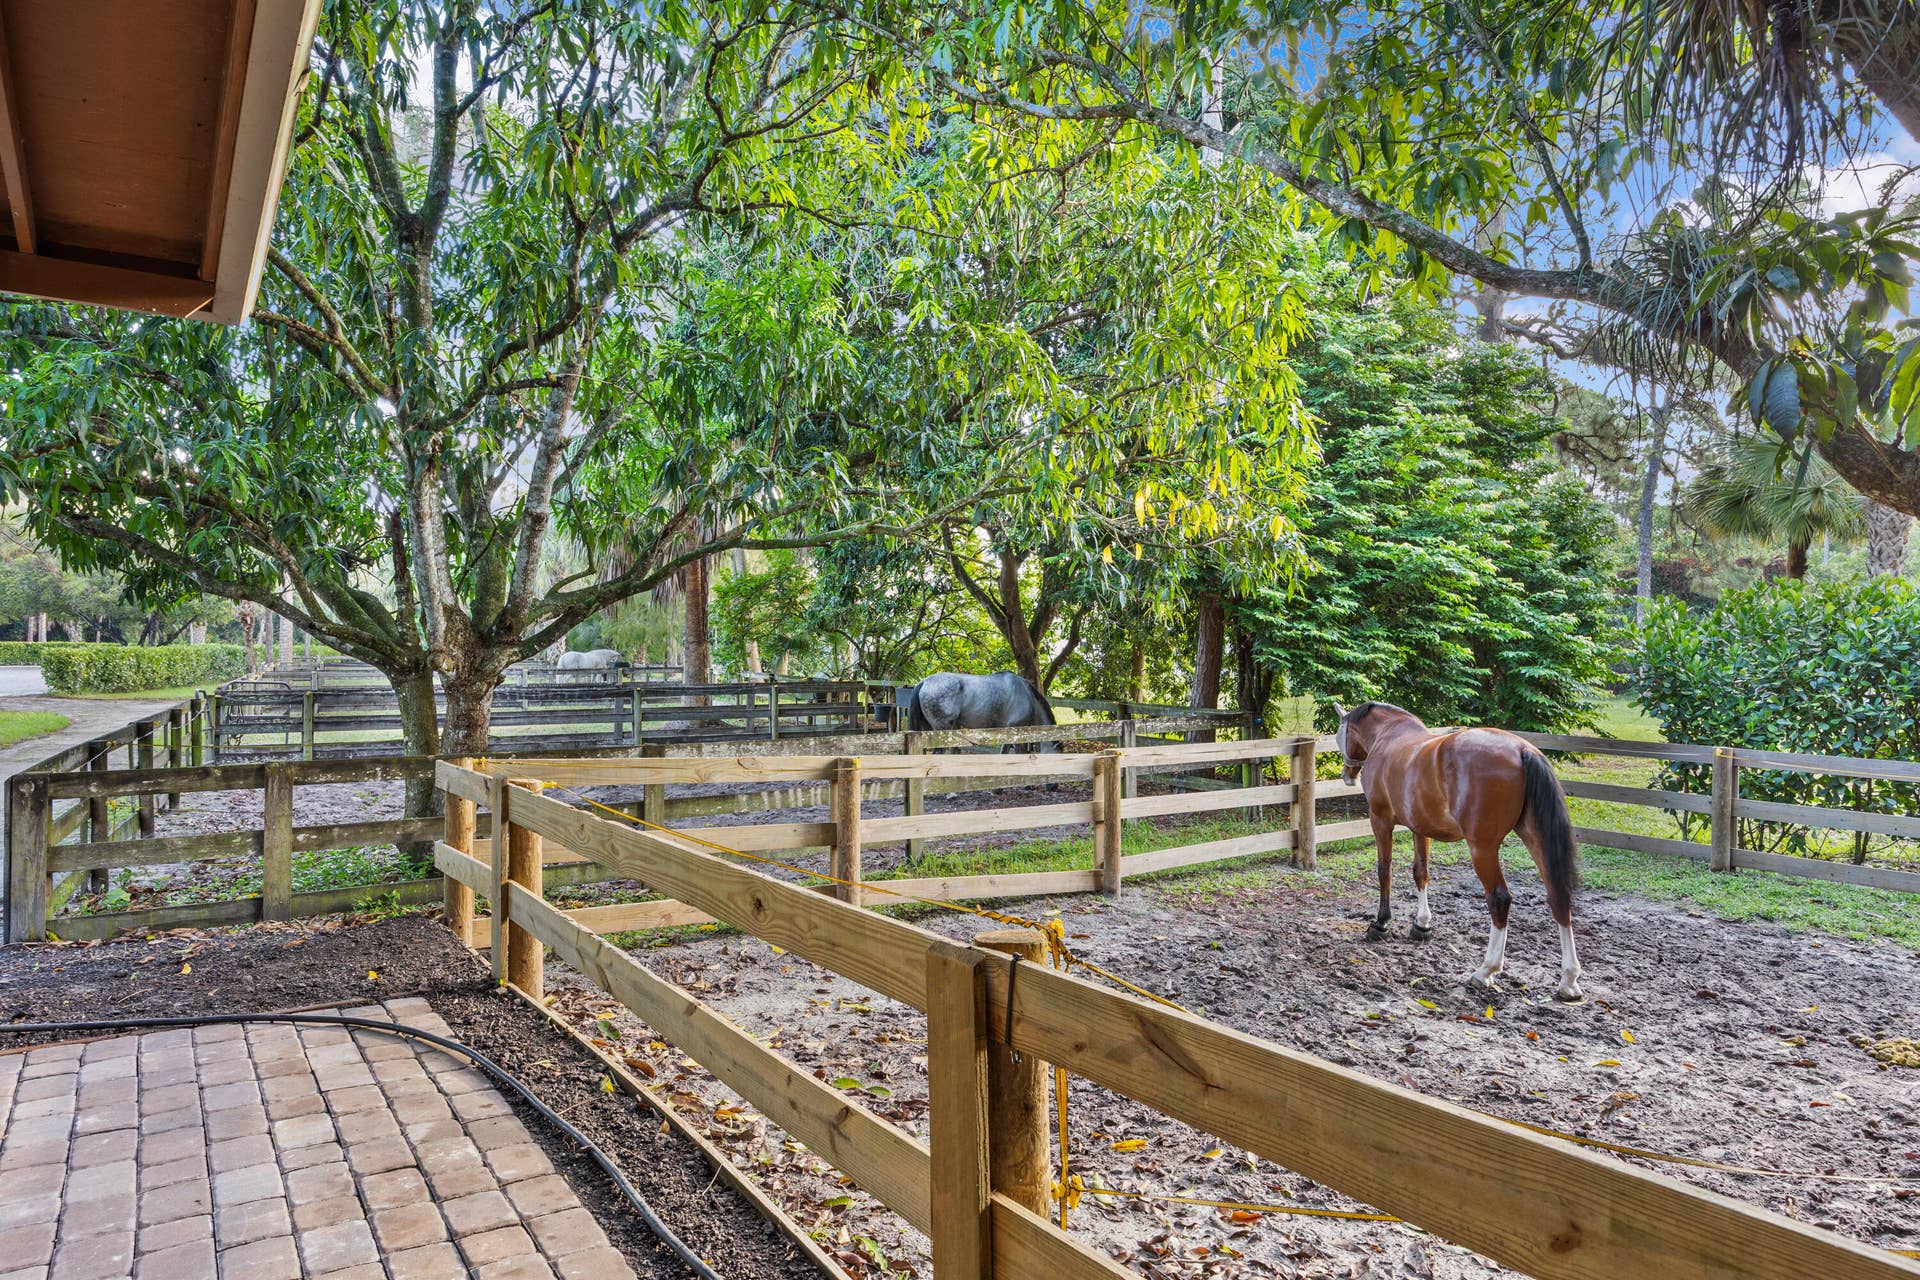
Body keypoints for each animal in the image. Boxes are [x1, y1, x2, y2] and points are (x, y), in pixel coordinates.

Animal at [1334, 701, 1584, 1002]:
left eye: (1340, 735)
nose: (1346, 775)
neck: (1388, 736)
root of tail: (1521, 750)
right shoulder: (1419, 827)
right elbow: (1421, 873)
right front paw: (1421, 925)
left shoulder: (1380, 819)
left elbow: (1385, 870)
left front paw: (1381, 924)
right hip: (1534, 837)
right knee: (1558, 896)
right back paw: (1568, 980)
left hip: (1482, 848)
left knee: (1499, 899)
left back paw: (1485, 971)